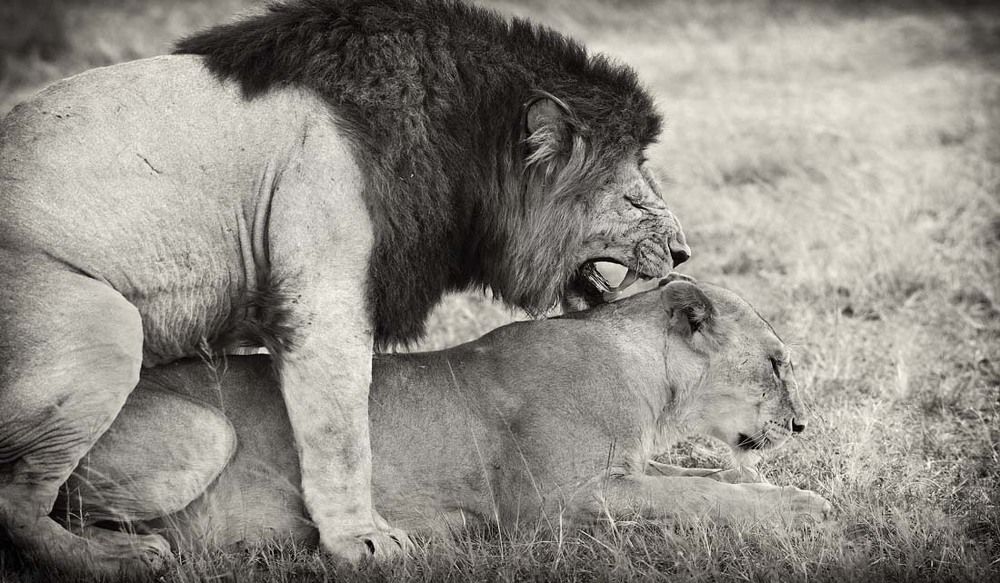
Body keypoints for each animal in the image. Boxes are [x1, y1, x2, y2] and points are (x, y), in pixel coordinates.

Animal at [0, 0, 692, 574]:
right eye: (632, 198)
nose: (684, 252)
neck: (459, 144)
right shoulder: (322, 287)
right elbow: (341, 431)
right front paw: (363, 541)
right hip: (104, 326)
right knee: (17, 499)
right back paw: (115, 558)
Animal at [50, 278, 830, 556]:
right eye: (777, 363)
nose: (800, 428)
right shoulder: (553, 504)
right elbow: (696, 493)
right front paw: (803, 506)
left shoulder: (621, 471)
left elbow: (706, 481)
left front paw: (785, 491)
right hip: (203, 432)